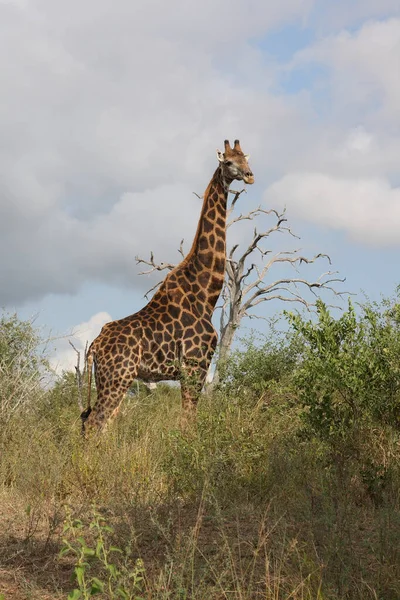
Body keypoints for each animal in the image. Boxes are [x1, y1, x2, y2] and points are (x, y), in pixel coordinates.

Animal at [81, 141, 255, 432]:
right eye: (229, 162)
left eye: (245, 158)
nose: (250, 175)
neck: (205, 294)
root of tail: (94, 346)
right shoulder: (195, 364)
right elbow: (187, 422)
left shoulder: (195, 368)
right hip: (118, 377)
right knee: (96, 423)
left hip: (107, 379)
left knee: (91, 422)